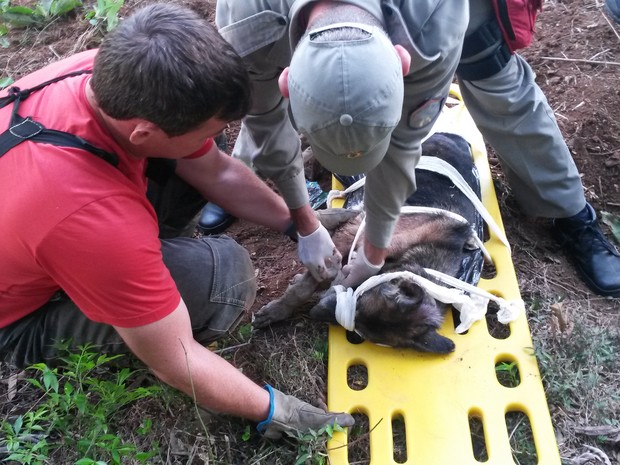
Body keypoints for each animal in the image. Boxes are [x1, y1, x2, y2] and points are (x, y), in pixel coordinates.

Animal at [252, 132, 484, 354]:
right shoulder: (349, 239)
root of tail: (456, 138)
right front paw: (278, 310)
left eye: (359, 330)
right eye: (361, 302)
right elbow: (302, 289)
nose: (315, 312)